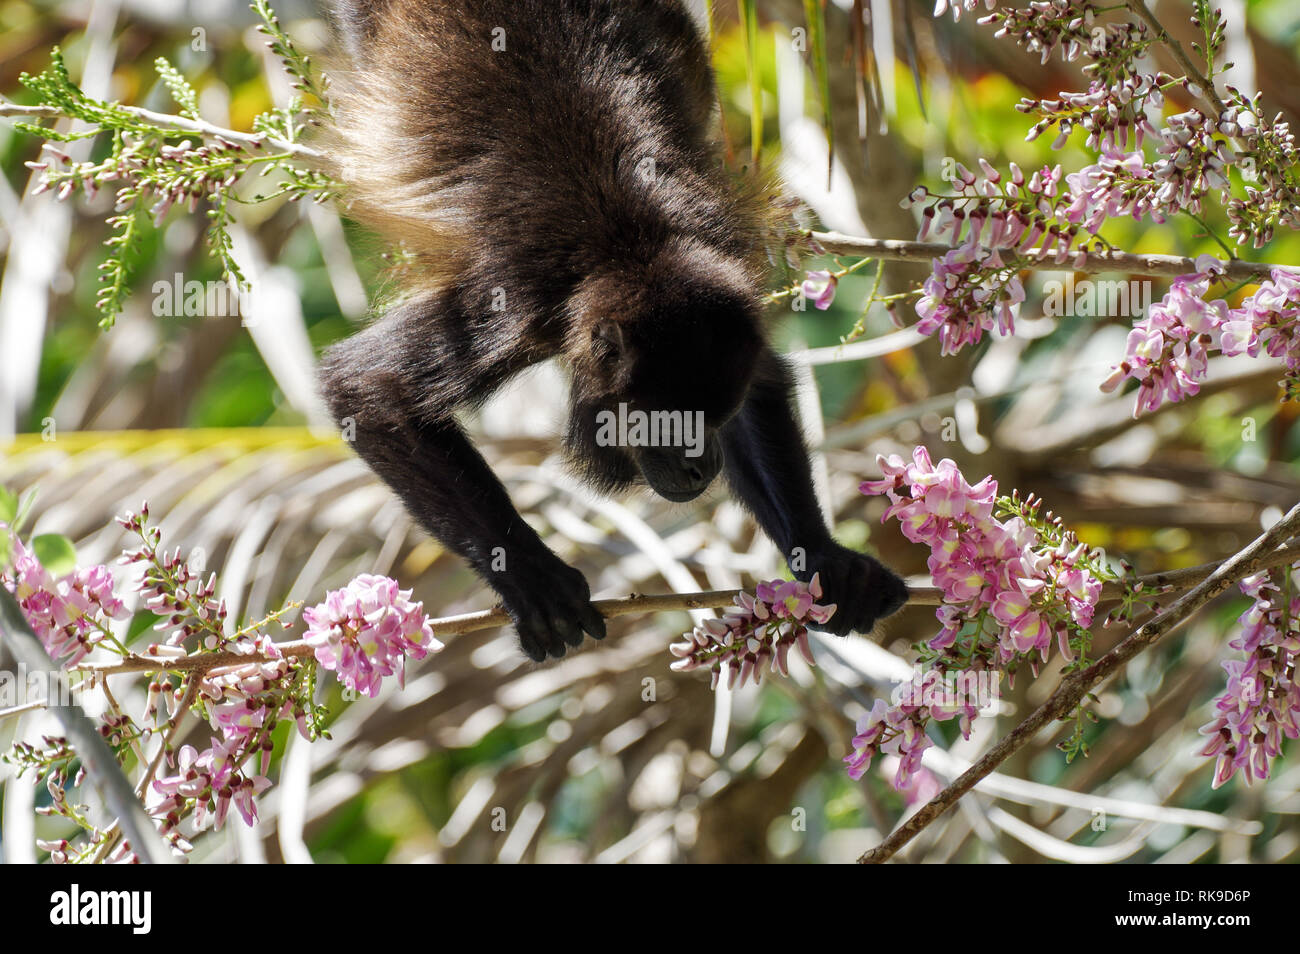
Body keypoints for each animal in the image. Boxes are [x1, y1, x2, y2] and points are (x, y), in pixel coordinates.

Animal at [317, 0, 904, 665]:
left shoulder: (726, 274)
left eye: (716, 420)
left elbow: (760, 385)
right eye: (667, 423)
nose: (703, 467)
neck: (633, 254)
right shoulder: (514, 307)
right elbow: (367, 388)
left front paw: (825, 559)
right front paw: (531, 577)